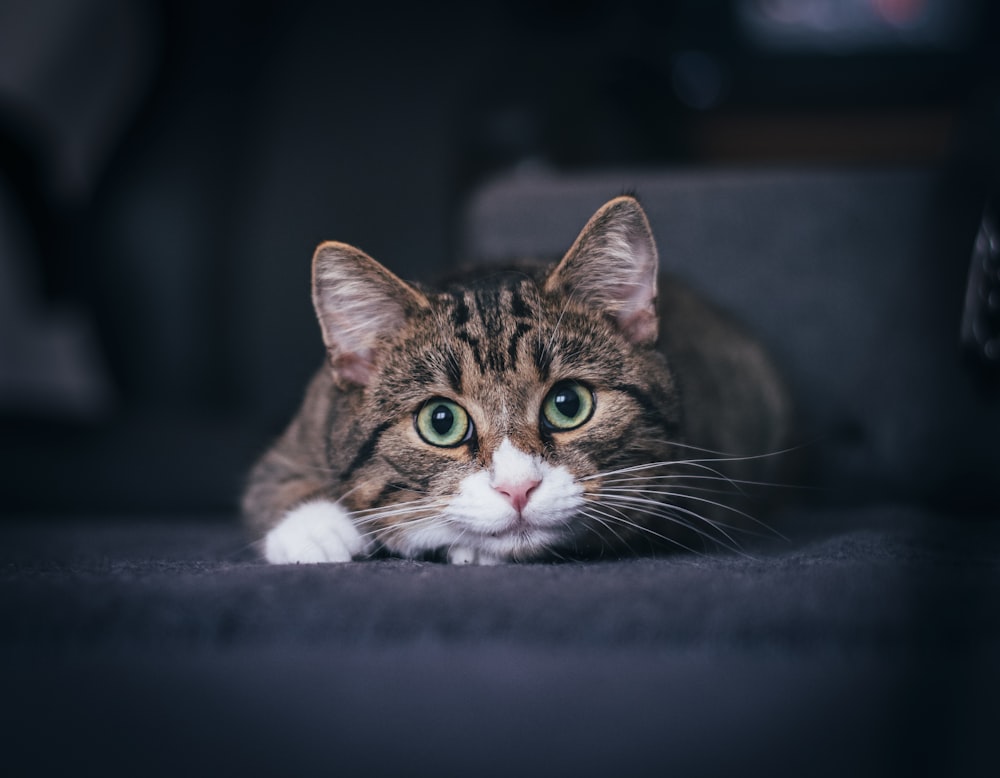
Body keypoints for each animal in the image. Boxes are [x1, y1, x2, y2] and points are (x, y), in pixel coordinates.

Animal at [240, 191, 788, 560]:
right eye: (441, 421)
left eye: (568, 404)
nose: (518, 489)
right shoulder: (310, 419)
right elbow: (270, 480)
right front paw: (317, 530)